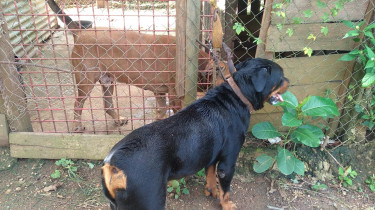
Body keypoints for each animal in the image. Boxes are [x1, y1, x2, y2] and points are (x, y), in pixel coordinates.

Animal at [101, 57, 290, 210]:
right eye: (281, 77)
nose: (289, 80)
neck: (237, 95)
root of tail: (112, 164)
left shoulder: (212, 155)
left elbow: (211, 176)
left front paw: (212, 192)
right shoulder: (228, 162)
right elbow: (226, 189)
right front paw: (227, 204)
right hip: (151, 201)